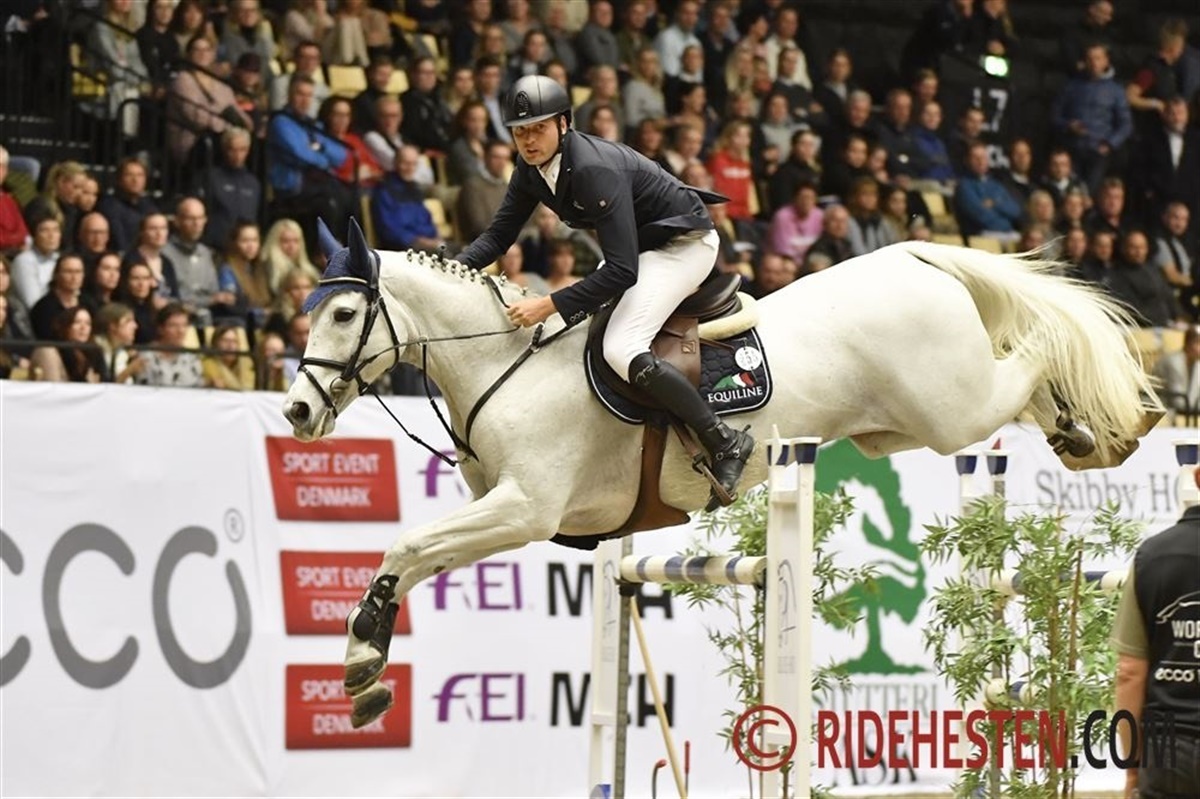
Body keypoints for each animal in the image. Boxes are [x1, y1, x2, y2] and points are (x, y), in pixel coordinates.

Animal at [283, 220, 1160, 727]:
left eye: (343, 313)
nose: (295, 411)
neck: (507, 361)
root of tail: (913, 255)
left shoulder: (526, 509)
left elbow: (405, 547)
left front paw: (359, 658)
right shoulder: (518, 514)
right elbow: (414, 554)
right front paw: (366, 666)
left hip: (954, 411)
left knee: (1034, 348)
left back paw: (1097, 420)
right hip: (904, 426)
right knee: (1025, 376)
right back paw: (1082, 430)